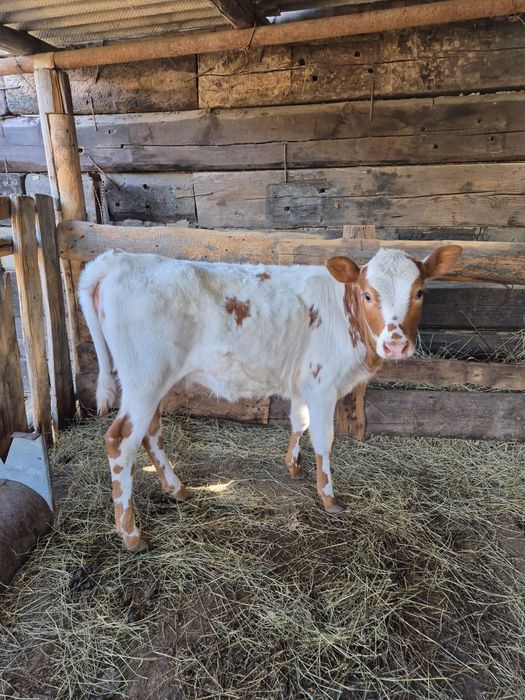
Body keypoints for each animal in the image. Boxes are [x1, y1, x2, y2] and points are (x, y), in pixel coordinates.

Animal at [78, 244, 462, 552]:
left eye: (420, 292)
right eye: (368, 295)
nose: (396, 344)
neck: (344, 312)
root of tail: (119, 260)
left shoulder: (303, 383)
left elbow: (299, 422)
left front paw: (293, 466)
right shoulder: (322, 384)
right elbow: (324, 440)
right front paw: (328, 496)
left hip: (154, 382)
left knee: (151, 433)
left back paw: (177, 489)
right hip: (144, 378)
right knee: (120, 442)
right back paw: (131, 534)